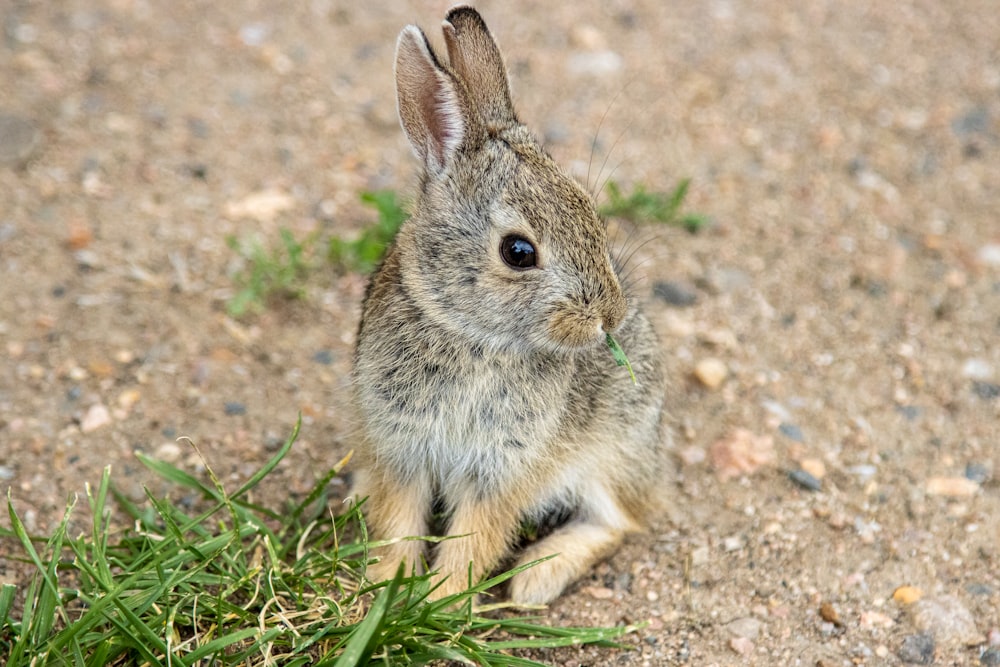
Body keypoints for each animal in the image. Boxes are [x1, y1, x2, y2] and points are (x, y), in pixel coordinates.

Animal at [352, 5, 672, 608]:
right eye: (518, 252)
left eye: (589, 210)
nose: (608, 318)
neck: (472, 335)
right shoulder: (400, 445)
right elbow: (399, 522)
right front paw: (384, 590)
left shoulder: (503, 465)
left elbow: (474, 537)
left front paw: (441, 600)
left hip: (612, 449)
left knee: (620, 521)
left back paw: (534, 579)